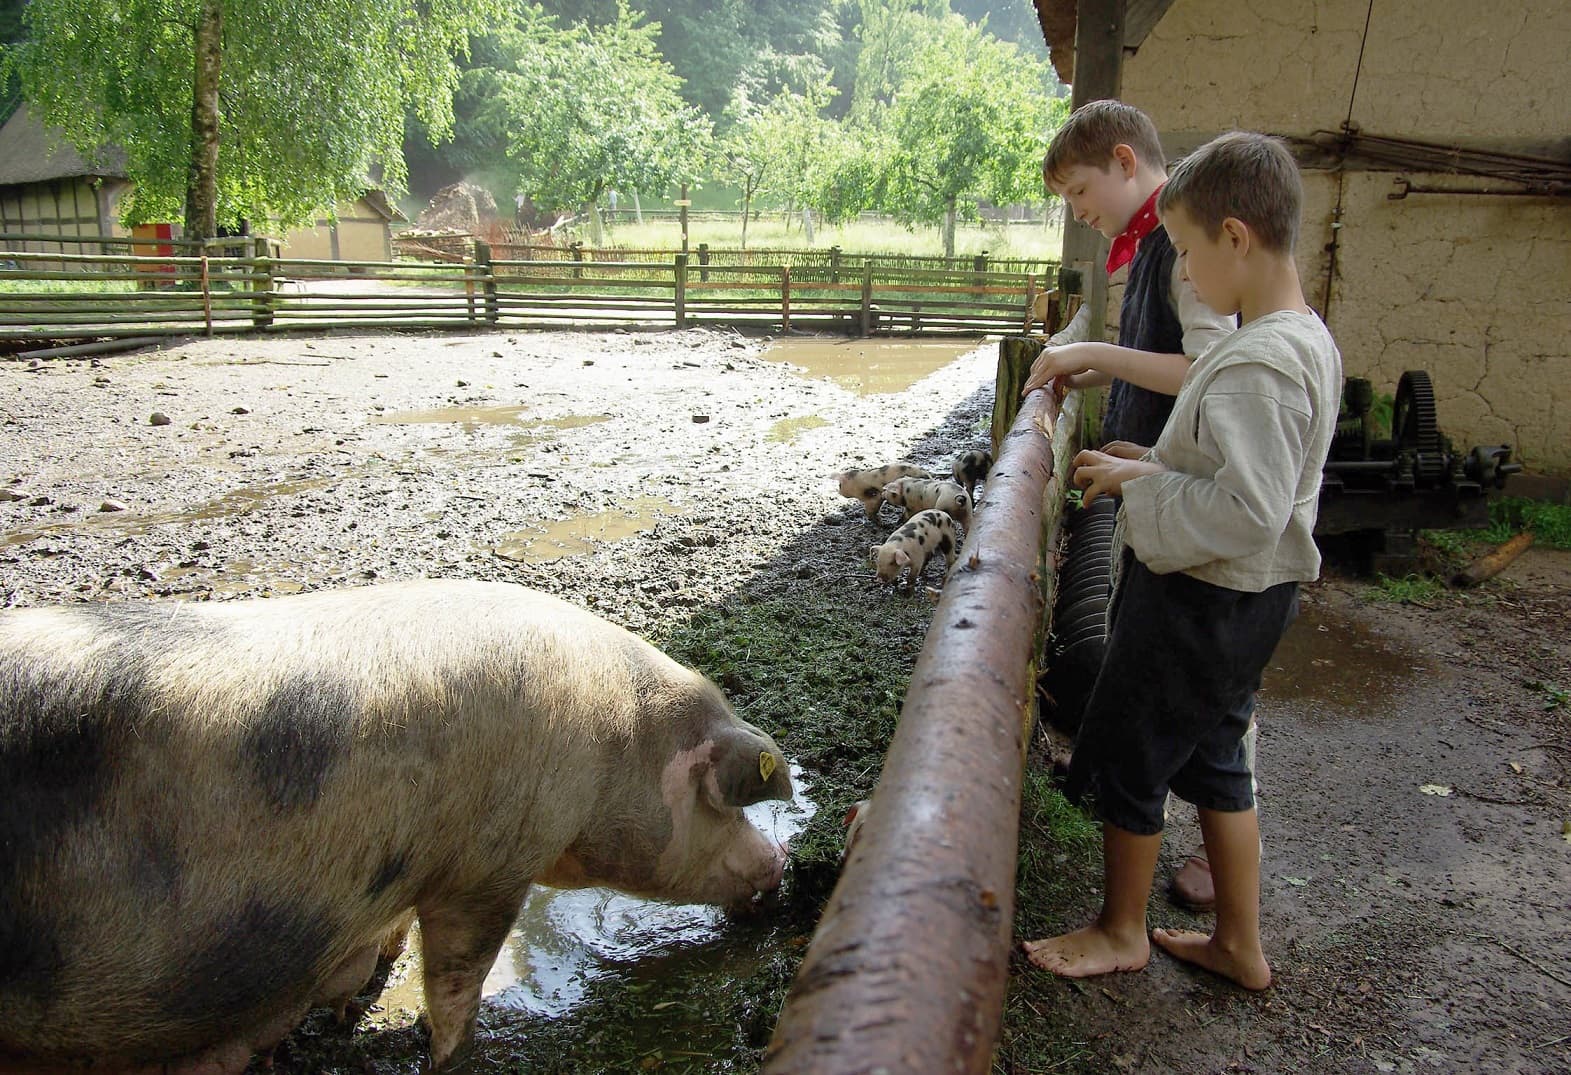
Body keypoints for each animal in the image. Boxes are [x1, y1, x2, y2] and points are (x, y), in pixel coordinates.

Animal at [0, 584, 785, 1068]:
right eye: (726, 803)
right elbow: (458, 975)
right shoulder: (487, 867)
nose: (780, 862)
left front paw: (356, 1001)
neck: (614, 739)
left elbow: (393, 931)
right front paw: (447, 1054)